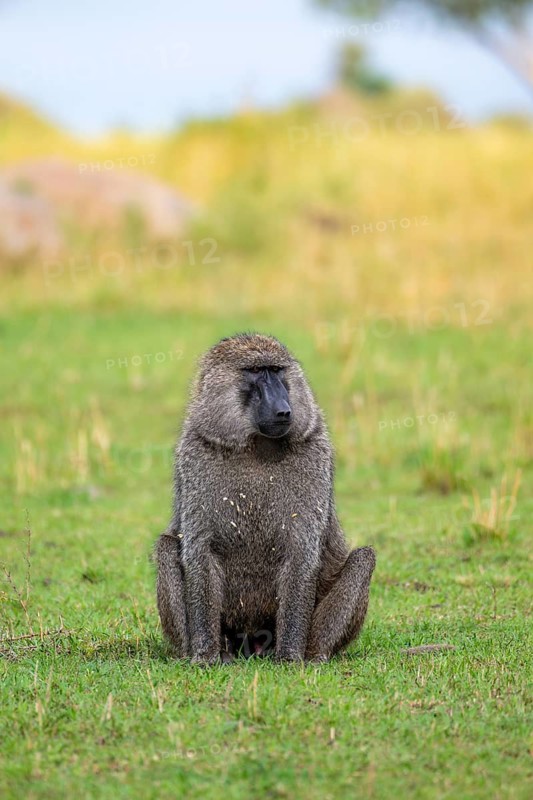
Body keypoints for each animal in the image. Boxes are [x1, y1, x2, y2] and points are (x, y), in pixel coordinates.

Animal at [155, 333, 376, 664]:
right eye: (256, 372)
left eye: (277, 370)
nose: (284, 410)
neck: (255, 445)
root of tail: (252, 642)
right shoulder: (195, 454)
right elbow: (199, 551)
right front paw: (205, 656)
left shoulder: (315, 453)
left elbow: (301, 552)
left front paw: (290, 657)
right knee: (166, 547)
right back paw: (206, 653)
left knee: (364, 557)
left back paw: (313, 655)